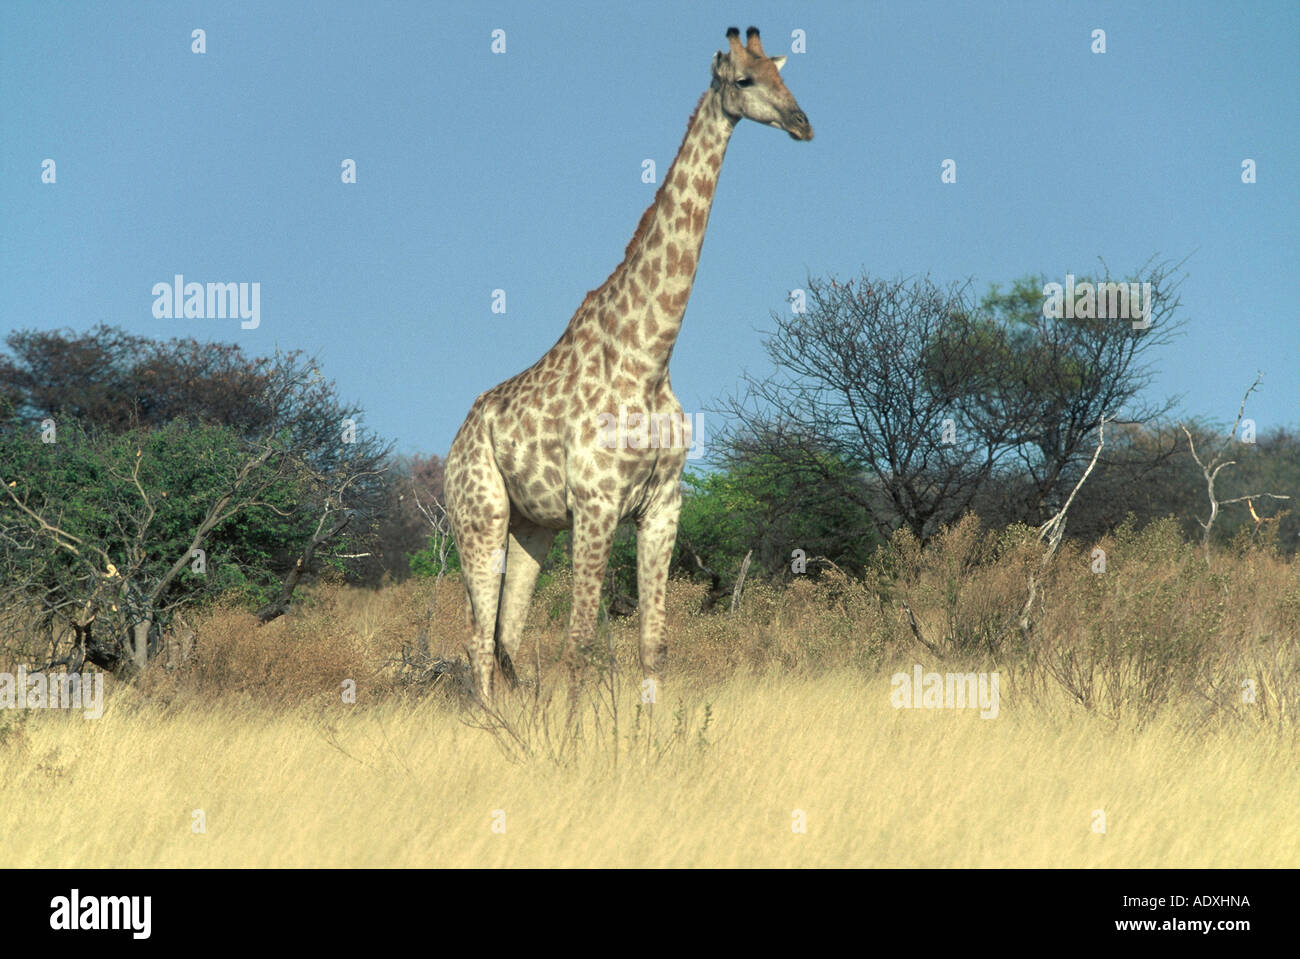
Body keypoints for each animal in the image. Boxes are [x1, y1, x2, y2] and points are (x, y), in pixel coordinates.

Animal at [444, 26, 812, 701]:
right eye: (744, 80)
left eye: (785, 76)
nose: (802, 123)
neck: (650, 356)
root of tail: (456, 440)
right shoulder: (596, 505)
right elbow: (580, 645)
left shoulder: (662, 505)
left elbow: (653, 643)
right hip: (479, 516)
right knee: (479, 643)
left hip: (532, 527)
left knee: (506, 638)